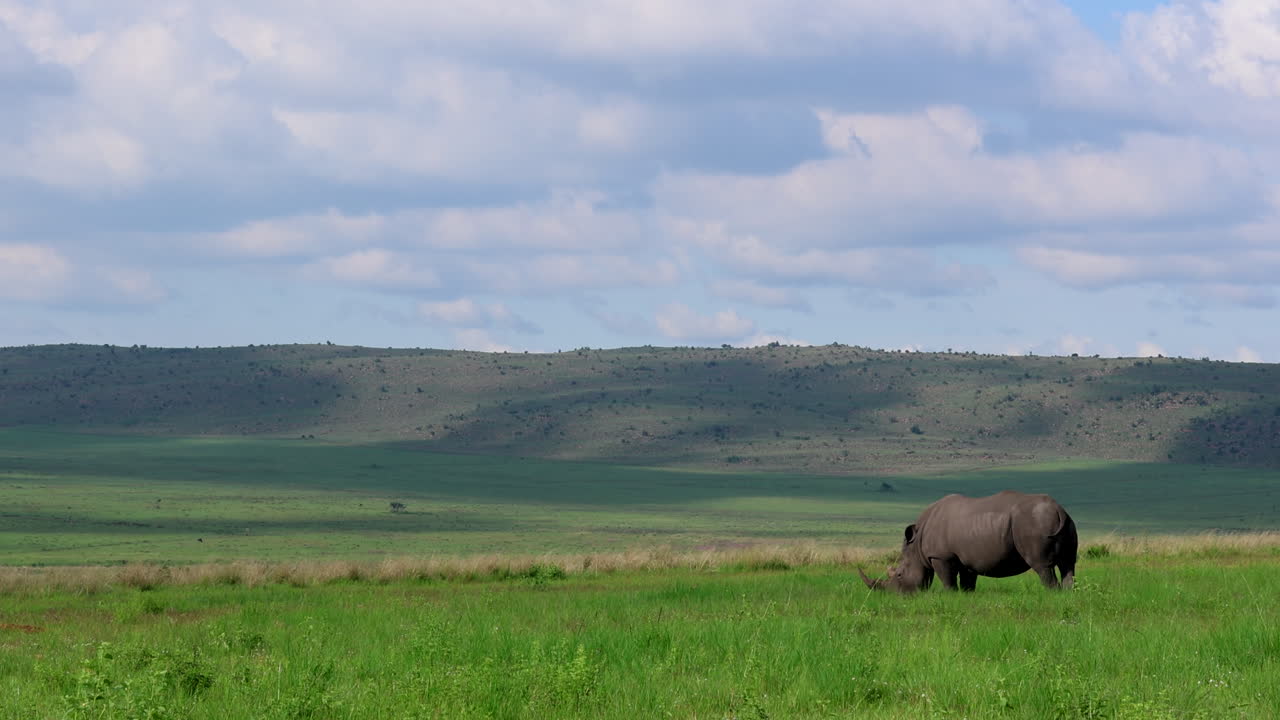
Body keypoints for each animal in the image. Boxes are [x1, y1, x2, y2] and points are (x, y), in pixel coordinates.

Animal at [859, 491, 1077, 593]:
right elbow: (967, 582)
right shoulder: (968, 557)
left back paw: (1052, 594)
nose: (894, 594)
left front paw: (950, 595)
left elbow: (947, 580)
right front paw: (966, 596)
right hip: (1066, 523)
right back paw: (1067, 594)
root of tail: (1058, 509)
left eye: (900, 574)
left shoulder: (940, 556)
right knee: (1068, 564)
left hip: (1033, 524)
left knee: (1042, 566)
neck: (916, 546)